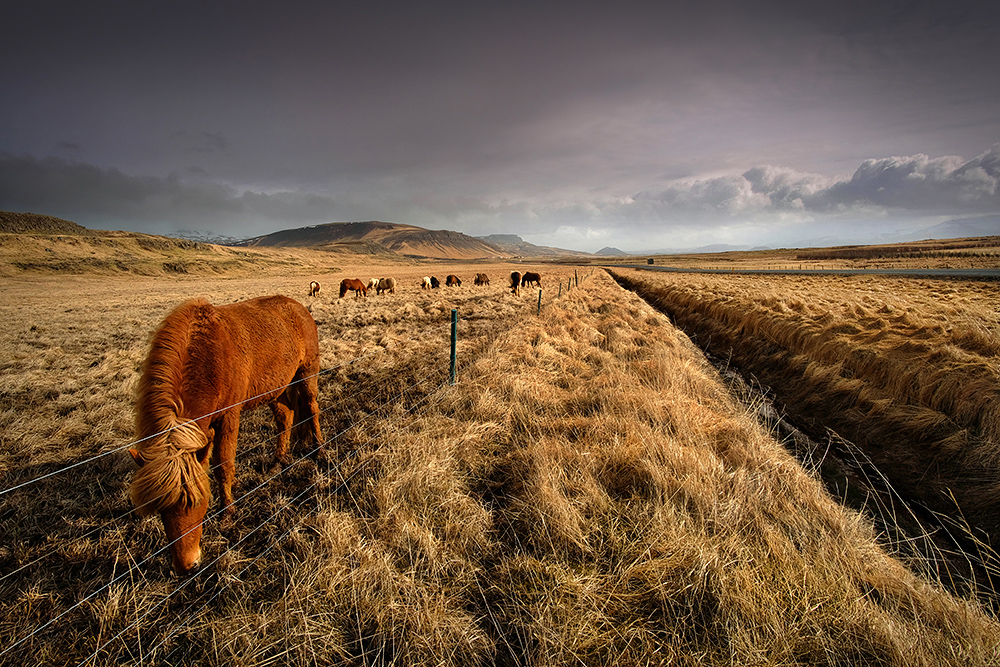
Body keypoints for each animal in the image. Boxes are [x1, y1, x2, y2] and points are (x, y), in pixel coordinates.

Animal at [125, 298, 320, 576]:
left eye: (198, 502)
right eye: (161, 508)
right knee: (285, 418)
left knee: (312, 410)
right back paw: (278, 462)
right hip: (277, 387)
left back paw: (320, 449)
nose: (187, 565)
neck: (207, 357)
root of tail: (298, 306)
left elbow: (223, 464)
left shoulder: (229, 416)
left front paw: (227, 512)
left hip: (306, 374)